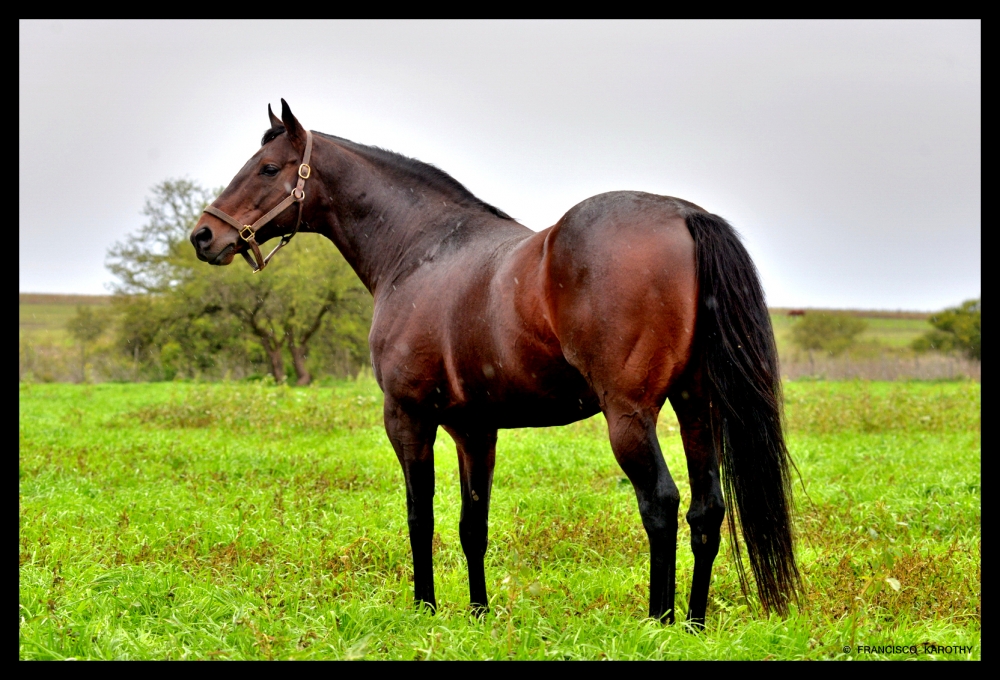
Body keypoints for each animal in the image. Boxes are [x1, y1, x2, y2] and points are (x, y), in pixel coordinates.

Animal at [191, 101, 800, 628]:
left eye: (269, 167)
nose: (204, 235)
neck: (421, 250)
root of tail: (685, 215)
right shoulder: (475, 430)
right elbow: (472, 525)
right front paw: (478, 613)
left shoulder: (407, 418)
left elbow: (420, 515)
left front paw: (426, 608)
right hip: (698, 408)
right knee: (706, 510)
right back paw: (693, 622)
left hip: (630, 417)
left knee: (662, 503)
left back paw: (660, 621)